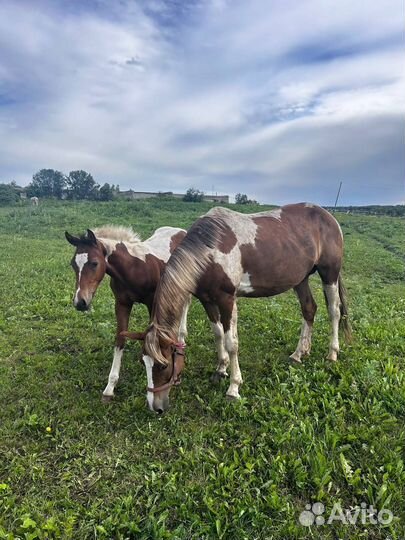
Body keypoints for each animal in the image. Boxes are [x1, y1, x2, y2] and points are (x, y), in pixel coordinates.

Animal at [64, 225, 188, 400]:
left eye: (94, 263)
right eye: (73, 264)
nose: (80, 302)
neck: (134, 268)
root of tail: (180, 230)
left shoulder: (152, 303)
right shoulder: (122, 304)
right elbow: (120, 339)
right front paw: (110, 387)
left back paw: (181, 338)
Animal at [123, 202, 350, 414]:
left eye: (163, 365)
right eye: (143, 362)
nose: (155, 407)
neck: (210, 249)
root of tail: (328, 216)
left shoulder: (227, 300)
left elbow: (231, 343)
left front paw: (233, 388)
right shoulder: (207, 300)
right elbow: (217, 334)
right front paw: (221, 368)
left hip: (329, 274)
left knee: (334, 312)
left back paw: (332, 354)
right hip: (300, 279)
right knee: (309, 309)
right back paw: (300, 353)